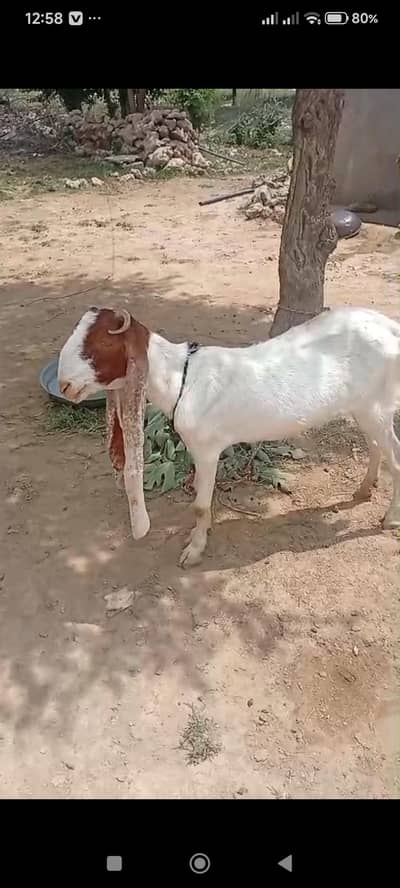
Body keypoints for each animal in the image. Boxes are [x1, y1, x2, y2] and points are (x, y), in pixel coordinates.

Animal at [58, 305, 400, 566]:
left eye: (100, 345)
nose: (64, 385)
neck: (181, 379)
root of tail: (391, 327)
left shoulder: (208, 450)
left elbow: (199, 505)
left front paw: (194, 551)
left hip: (377, 406)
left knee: (394, 457)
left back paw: (389, 518)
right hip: (365, 407)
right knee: (375, 445)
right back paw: (364, 489)